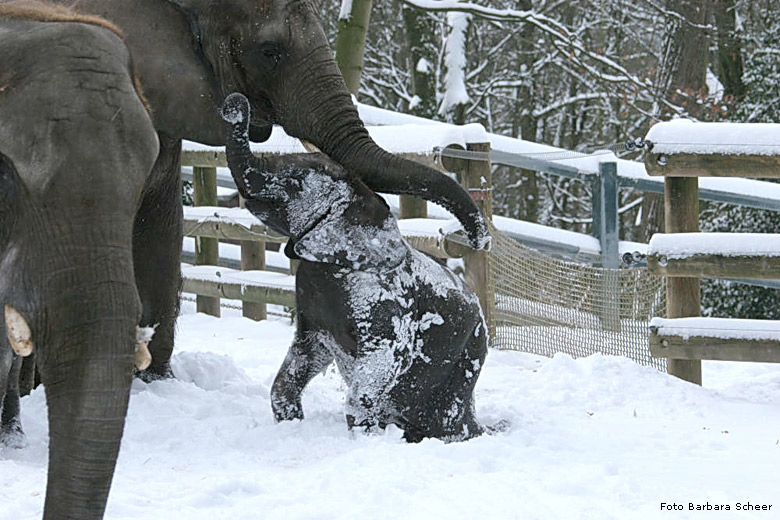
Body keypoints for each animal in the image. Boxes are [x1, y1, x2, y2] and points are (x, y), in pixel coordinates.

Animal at [221, 93, 488, 442]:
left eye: (295, 180)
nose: (235, 104)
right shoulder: (313, 318)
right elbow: (303, 357)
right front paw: (292, 422)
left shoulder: (387, 309)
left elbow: (379, 365)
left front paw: (365, 437)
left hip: (467, 356)